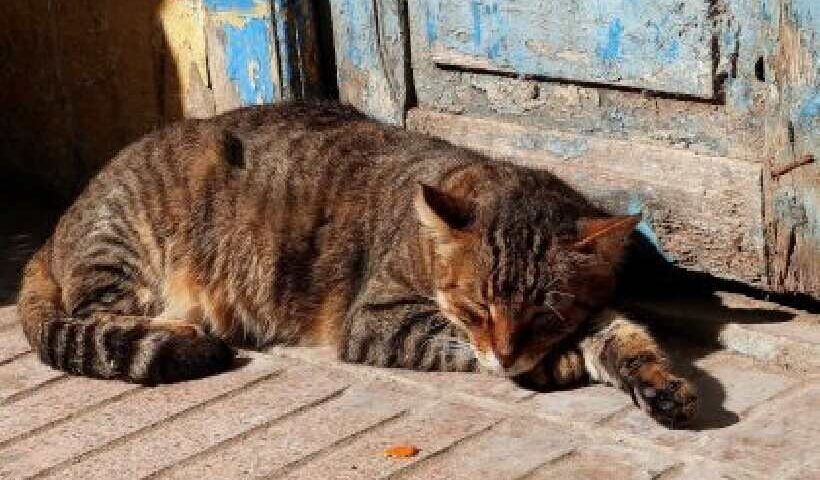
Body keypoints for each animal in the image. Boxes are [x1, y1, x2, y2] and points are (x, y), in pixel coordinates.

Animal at [17, 101, 700, 428]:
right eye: (478, 307)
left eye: (541, 313)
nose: (508, 353)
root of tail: (59, 227)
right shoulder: (377, 317)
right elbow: (447, 339)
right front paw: (549, 364)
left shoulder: (597, 313)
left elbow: (628, 339)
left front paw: (659, 385)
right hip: (126, 253)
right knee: (97, 317)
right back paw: (184, 333)